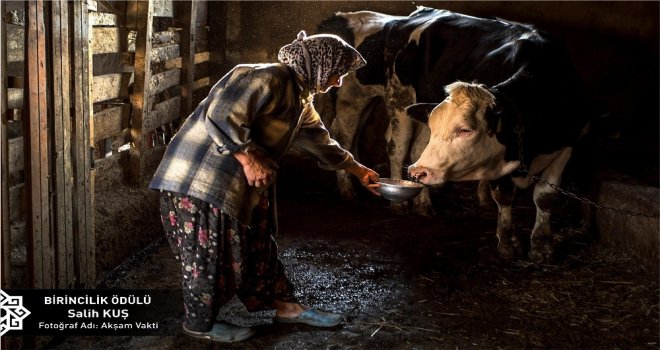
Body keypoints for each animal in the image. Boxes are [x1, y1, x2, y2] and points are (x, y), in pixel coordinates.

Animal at [318, 6, 592, 220]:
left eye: (466, 129)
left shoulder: (568, 143)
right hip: (375, 98)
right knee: (376, 143)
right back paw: (374, 198)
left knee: (411, 149)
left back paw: (423, 203)